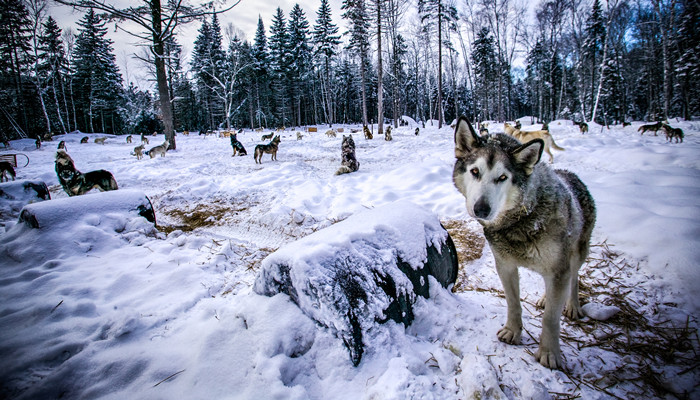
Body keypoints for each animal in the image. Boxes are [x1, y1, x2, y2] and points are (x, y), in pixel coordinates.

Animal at [454, 115, 596, 368]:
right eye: (474, 171)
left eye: (502, 177)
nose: (481, 209)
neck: (523, 219)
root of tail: (570, 174)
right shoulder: (505, 266)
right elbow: (513, 303)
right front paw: (512, 331)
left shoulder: (559, 270)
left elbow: (551, 319)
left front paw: (549, 353)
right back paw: (546, 298)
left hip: (577, 254)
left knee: (574, 278)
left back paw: (572, 305)